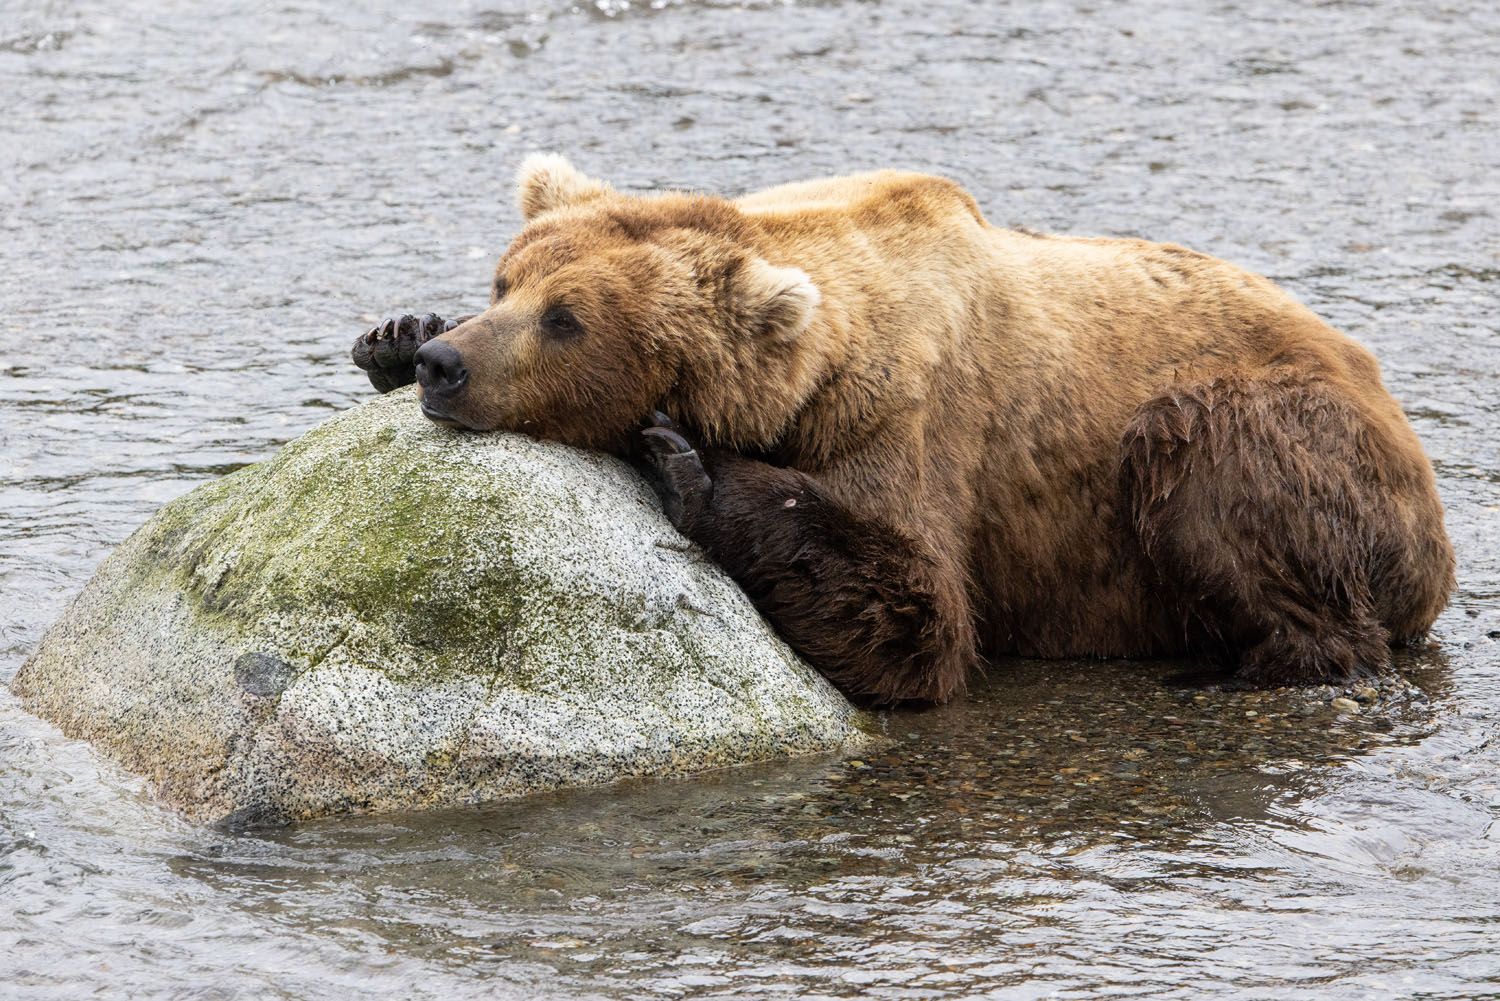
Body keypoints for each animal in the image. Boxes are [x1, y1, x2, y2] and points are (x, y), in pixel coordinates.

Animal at [348, 154, 1452, 705]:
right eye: (507, 281)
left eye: (568, 319)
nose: (449, 366)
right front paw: (394, 333)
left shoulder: (912, 421)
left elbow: (916, 613)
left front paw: (689, 463)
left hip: (1297, 436)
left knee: (1208, 464)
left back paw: (1245, 668)